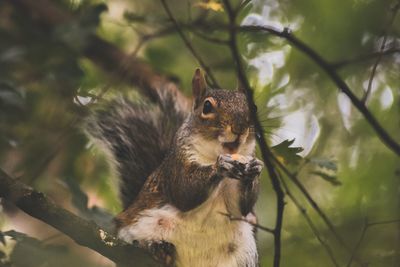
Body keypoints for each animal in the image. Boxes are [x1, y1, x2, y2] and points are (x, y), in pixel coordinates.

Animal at [85, 69, 262, 267]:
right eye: (207, 106)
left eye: (254, 108)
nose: (239, 128)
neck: (214, 154)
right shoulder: (176, 164)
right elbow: (184, 191)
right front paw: (221, 165)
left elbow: (242, 208)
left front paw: (254, 170)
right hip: (136, 226)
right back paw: (157, 248)